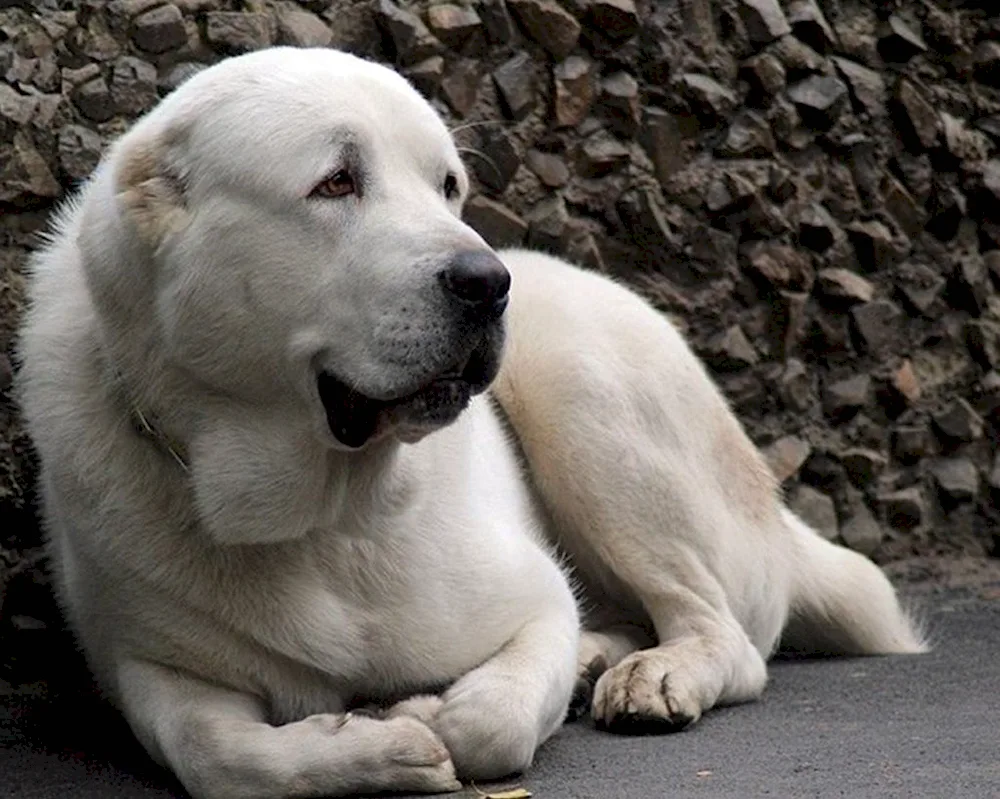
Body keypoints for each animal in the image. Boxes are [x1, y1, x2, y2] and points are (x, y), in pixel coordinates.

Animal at [15, 48, 924, 799]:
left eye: (447, 186)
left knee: (722, 629)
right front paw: (372, 747)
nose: (487, 281)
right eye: (336, 181)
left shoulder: (534, 595)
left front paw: (426, 719)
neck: (320, 514)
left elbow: (490, 719)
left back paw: (653, 674)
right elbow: (219, 756)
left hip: (583, 385)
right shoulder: (147, 666)